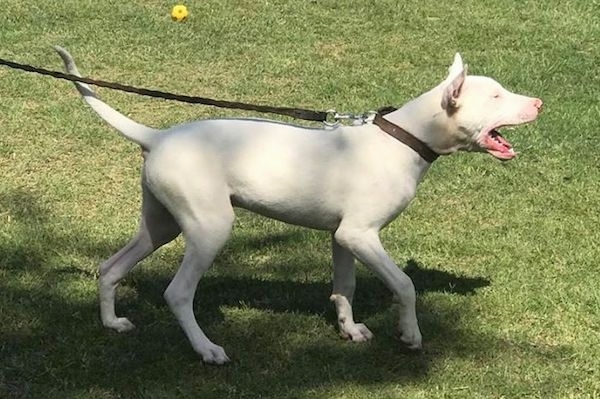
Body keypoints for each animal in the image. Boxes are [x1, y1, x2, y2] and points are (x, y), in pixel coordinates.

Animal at [55, 47, 544, 366]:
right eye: (495, 97)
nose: (539, 103)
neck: (403, 138)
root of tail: (157, 136)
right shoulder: (360, 234)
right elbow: (405, 285)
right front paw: (410, 335)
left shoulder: (343, 236)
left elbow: (344, 286)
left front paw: (349, 330)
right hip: (210, 226)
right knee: (177, 293)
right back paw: (207, 350)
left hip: (161, 224)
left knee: (109, 267)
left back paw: (112, 323)